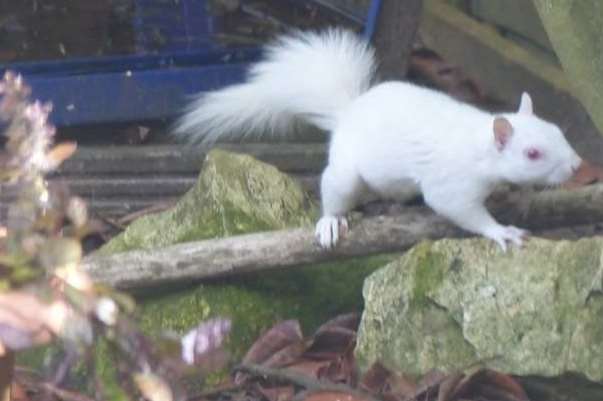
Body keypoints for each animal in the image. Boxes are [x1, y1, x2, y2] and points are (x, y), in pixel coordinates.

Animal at [177, 28, 584, 250]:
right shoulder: (452, 183)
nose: (578, 166)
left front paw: (526, 198)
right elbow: (459, 210)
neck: (479, 147)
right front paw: (500, 231)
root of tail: (347, 113)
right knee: (334, 194)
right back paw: (331, 222)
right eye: (533, 153)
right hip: (346, 174)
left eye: (558, 132)